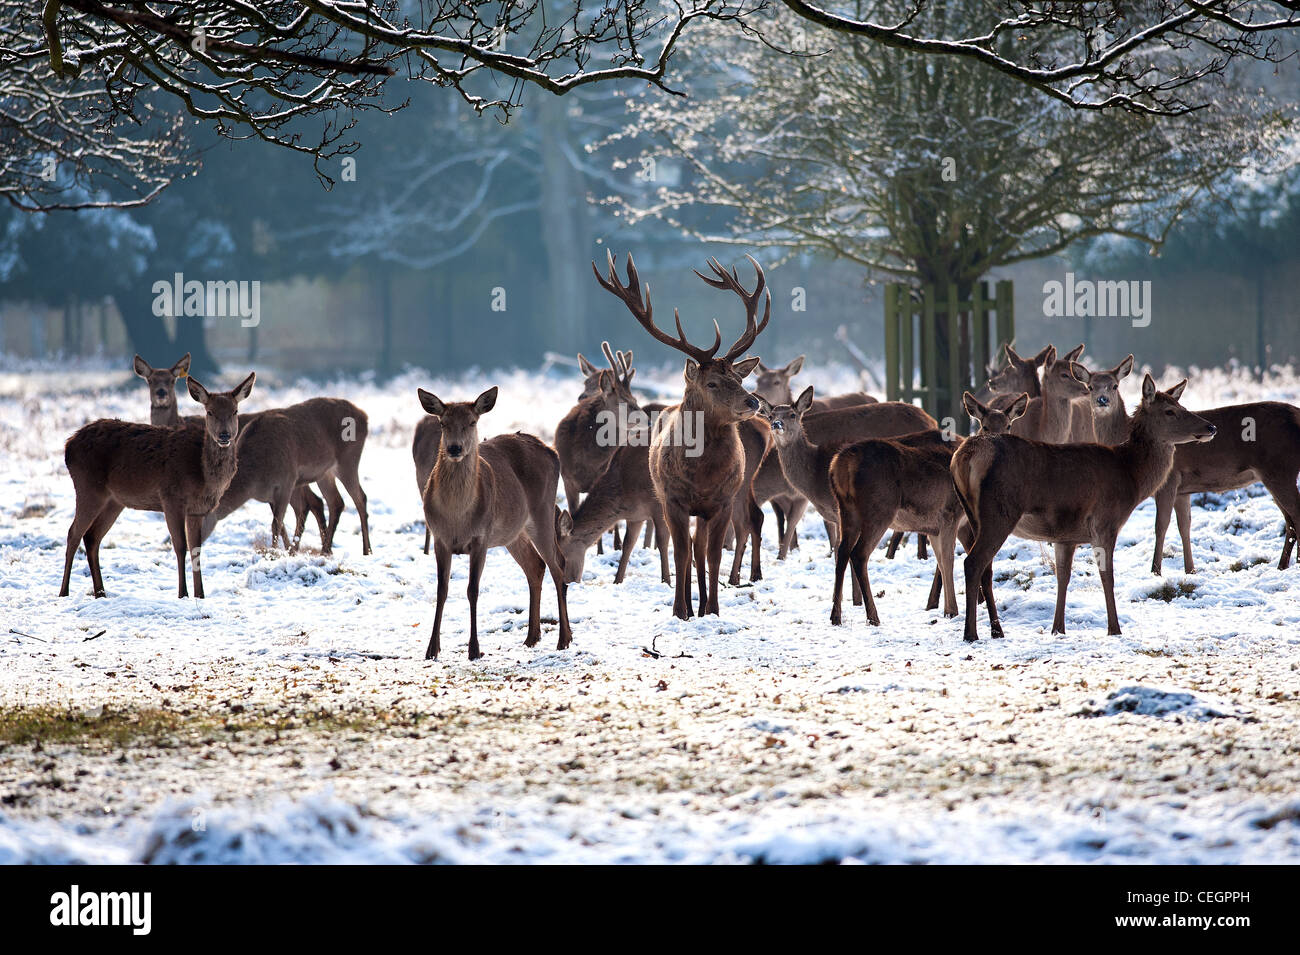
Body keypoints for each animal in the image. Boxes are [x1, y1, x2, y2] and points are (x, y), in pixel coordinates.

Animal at [60, 372, 256, 599]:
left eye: (235, 411)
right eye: (209, 412)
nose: (224, 435)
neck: (202, 474)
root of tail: (68, 445)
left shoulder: (197, 510)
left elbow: (196, 548)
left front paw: (200, 595)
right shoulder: (170, 498)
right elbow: (180, 546)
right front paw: (182, 593)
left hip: (114, 501)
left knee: (92, 537)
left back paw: (101, 592)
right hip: (88, 487)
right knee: (73, 533)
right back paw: (64, 592)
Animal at [417, 386, 573, 660]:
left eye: (472, 422)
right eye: (443, 423)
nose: (454, 448)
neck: (457, 517)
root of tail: (551, 451)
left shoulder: (481, 537)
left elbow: (472, 590)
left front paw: (474, 649)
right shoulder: (439, 538)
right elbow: (441, 590)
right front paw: (431, 649)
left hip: (542, 511)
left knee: (558, 565)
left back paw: (564, 639)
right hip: (513, 532)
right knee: (536, 566)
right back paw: (532, 637)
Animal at [594, 250, 768, 619]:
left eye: (740, 378)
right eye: (712, 383)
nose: (753, 401)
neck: (703, 475)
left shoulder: (722, 500)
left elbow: (713, 554)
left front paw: (712, 609)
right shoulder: (672, 500)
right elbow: (679, 553)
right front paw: (679, 610)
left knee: (701, 547)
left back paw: (701, 604)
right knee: (689, 549)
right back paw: (690, 603)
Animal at [952, 374, 1217, 642]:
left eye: (1181, 405)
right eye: (1170, 411)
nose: (1210, 428)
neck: (1130, 476)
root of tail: (965, 456)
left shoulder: (1065, 537)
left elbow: (1063, 576)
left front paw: (1058, 628)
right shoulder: (1105, 522)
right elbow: (1107, 576)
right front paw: (1114, 629)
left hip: (974, 516)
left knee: (985, 568)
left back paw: (997, 630)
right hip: (999, 513)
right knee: (972, 563)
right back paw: (971, 633)